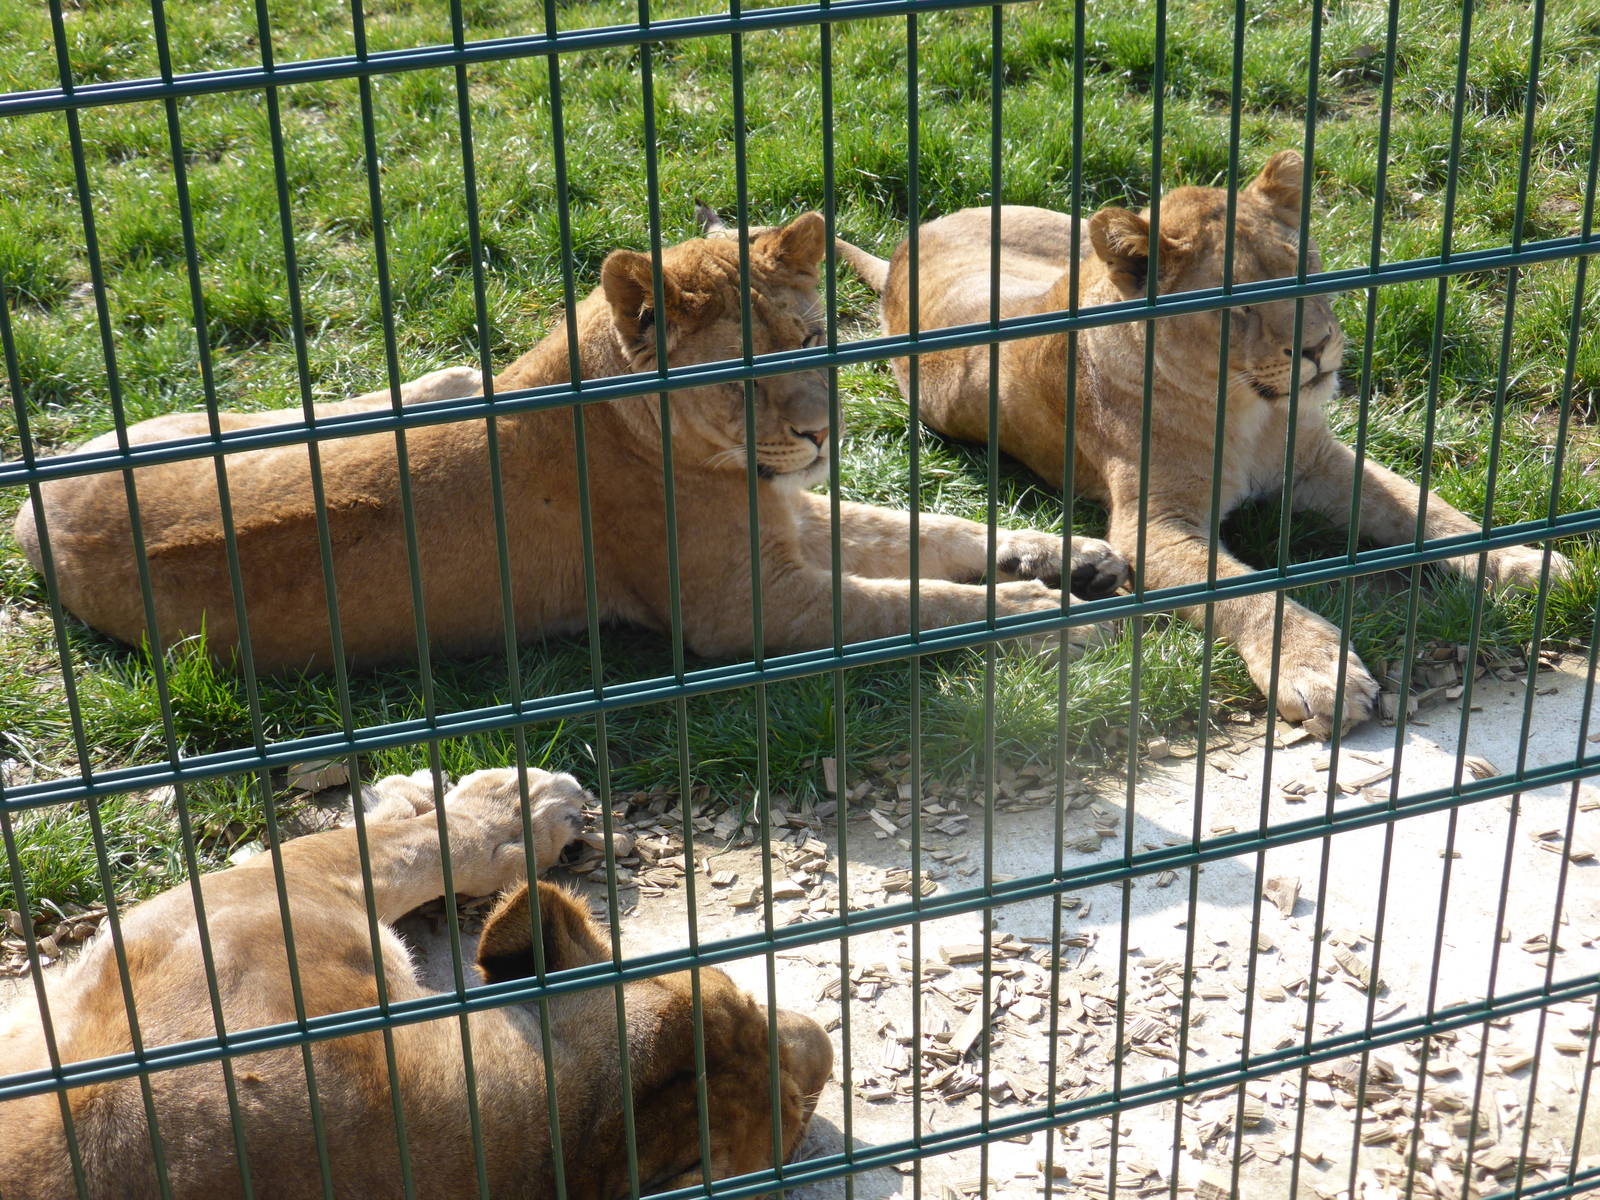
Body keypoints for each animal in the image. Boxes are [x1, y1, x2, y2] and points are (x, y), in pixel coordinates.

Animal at [0, 766, 833, 1199]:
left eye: (792, 1120)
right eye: (743, 996)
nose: (826, 1046)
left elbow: (408, 849)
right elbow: (412, 848)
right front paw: (521, 804)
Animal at [11, 214, 1127, 674]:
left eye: (812, 338)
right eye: (739, 373)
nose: (820, 431)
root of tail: (35, 493)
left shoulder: (790, 515)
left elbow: (925, 530)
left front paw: (1073, 557)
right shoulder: (746, 605)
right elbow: (908, 605)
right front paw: (1044, 614)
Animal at [834, 152, 1566, 735]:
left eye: (1305, 266)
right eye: (1236, 304)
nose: (1319, 348)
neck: (1248, 413)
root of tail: (907, 243)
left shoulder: (1318, 462)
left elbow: (1425, 509)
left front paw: (1523, 563)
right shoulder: (1152, 526)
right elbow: (1251, 593)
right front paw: (1316, 670)